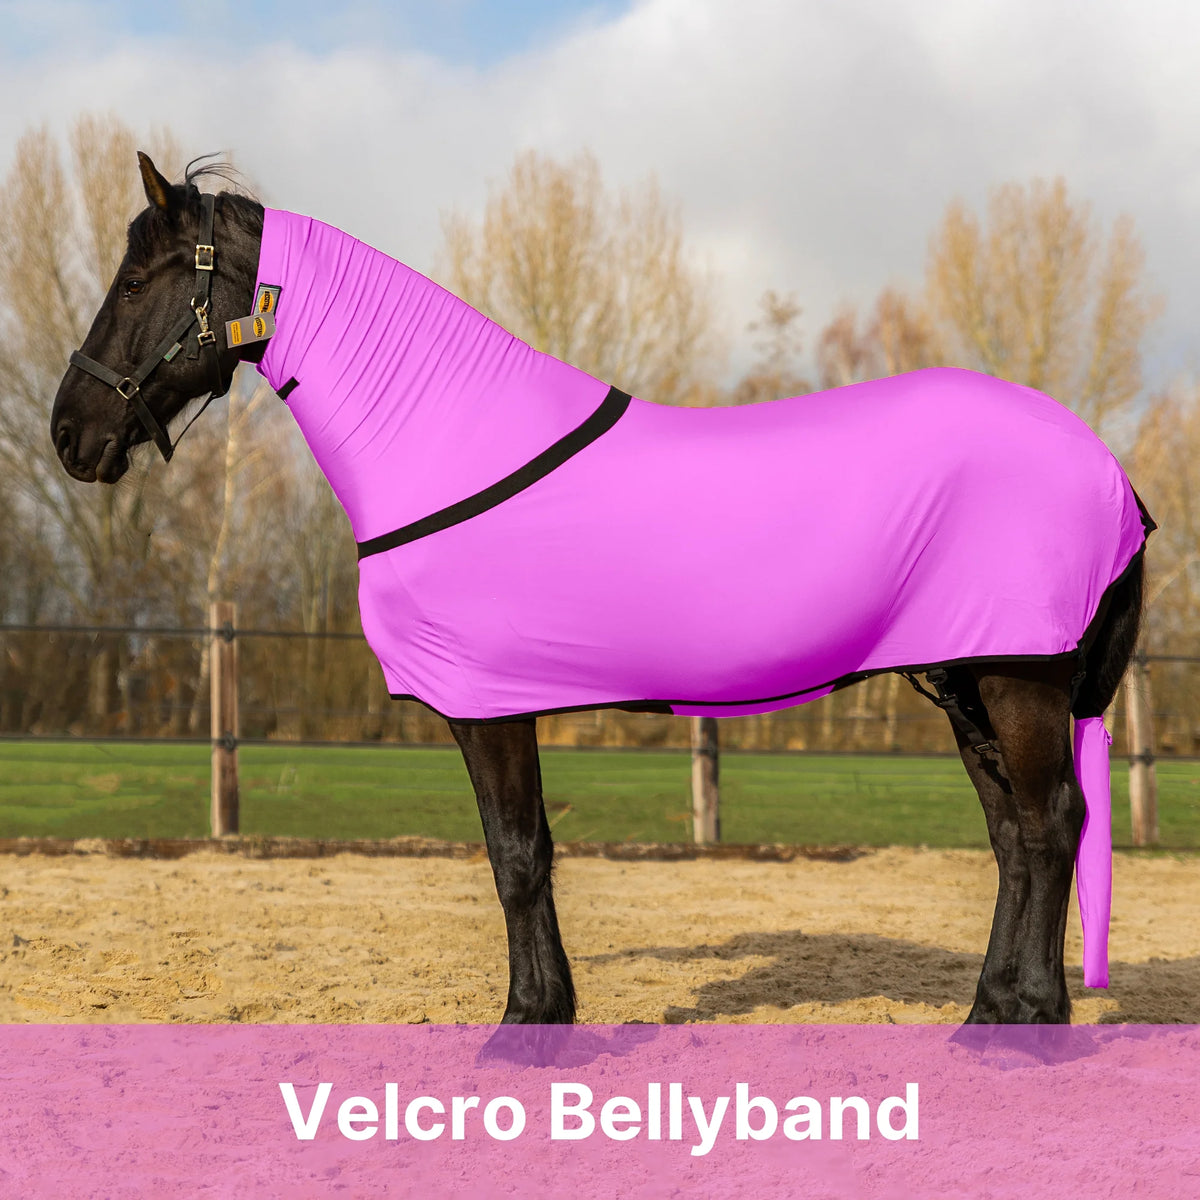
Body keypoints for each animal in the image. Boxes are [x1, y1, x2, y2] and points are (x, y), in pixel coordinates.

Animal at [50, 154, 1152, 1030]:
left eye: (139, 279)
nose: (70, 433)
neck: (450, 443)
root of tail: (1112, 473)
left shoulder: (487, 703)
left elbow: (514, 855)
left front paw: (526, 1020)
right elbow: (530, 848)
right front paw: (548, 1008)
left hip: (1016, 676)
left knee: (1050, 823)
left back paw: (1032, 1017)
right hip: (968, 676)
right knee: (1012, 834)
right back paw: (989, 1010)